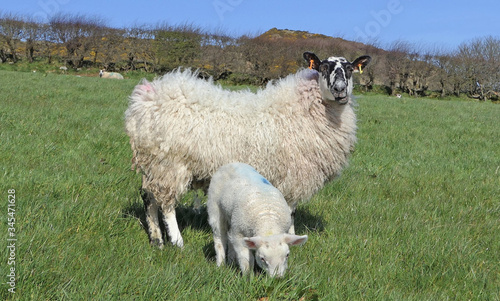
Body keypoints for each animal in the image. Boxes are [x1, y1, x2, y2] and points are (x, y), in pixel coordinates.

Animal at [123, 52, 370, 248]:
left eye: (350, 69)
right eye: (323, 68)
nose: (340, 90)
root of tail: (144, 97)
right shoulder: (293, 175)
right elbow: (291, 212)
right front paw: (292, 239)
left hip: (154, 162)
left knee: (148, 197)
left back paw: (157, 240)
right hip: (169, 163)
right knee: (166, 204)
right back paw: (176, 241)